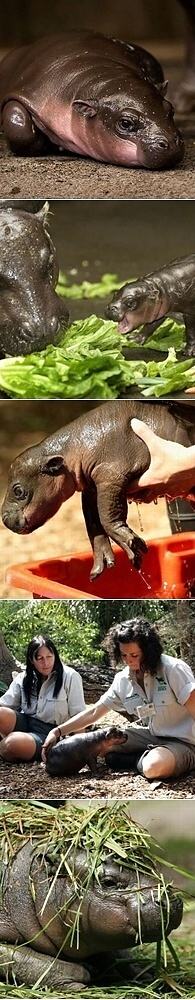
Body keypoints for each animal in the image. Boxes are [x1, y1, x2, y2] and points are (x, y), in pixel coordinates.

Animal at [0, 840, 183, 988]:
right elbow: (21, 957)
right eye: (108, 882)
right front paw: (81, 978)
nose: (171, 899)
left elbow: (116, 955)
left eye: (148, 864)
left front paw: (145, 974)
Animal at [1, 398, 195, 580]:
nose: (4, 519)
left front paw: (132, 545)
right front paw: (101, 565)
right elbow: (93, 522)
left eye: (18, 491)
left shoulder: (110, 476)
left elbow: (107, 515)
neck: (72, 449)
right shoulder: (91, 488)